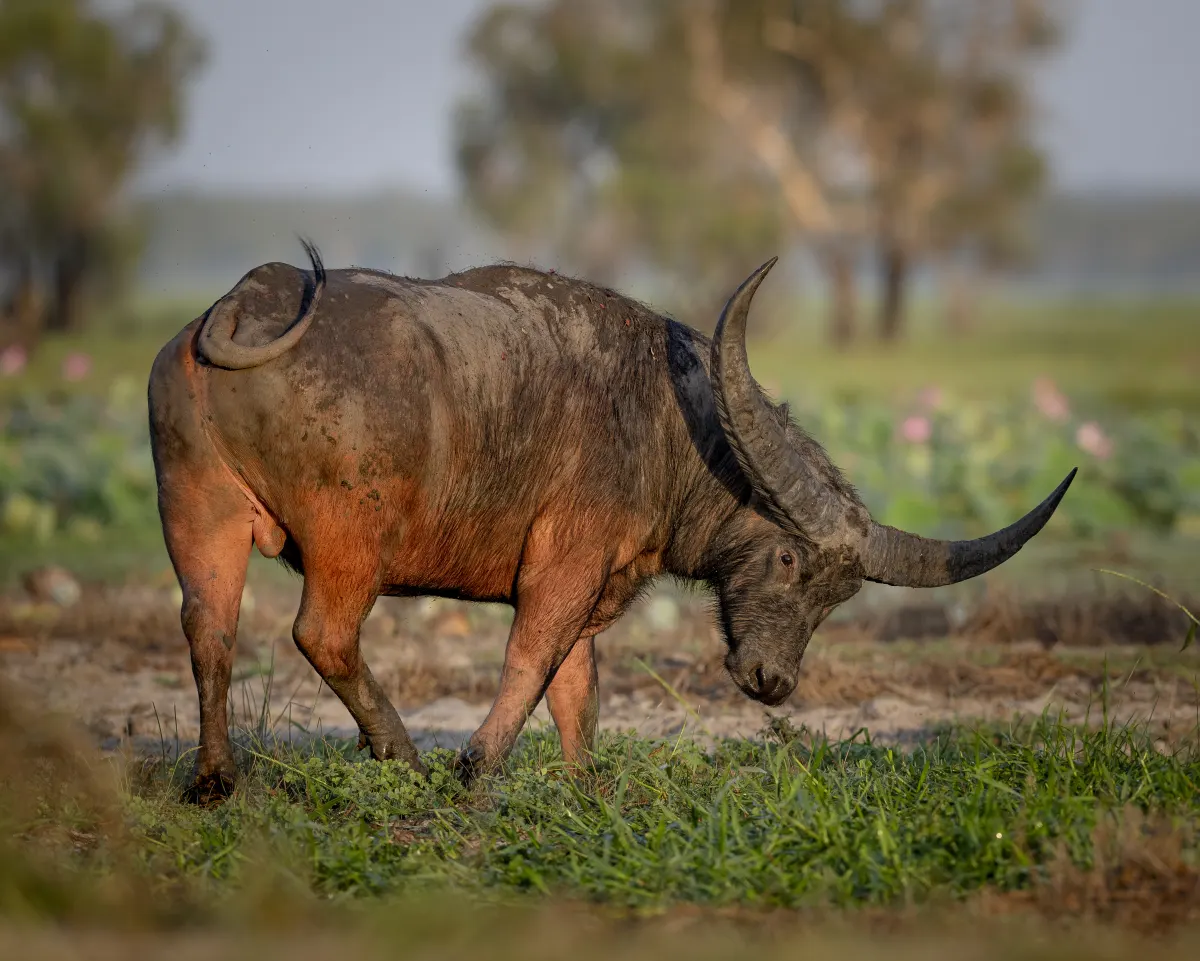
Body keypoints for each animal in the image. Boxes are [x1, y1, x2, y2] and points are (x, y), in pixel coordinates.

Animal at [148, 242, 1074, 800]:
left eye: (840, 595)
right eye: (787, 561)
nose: (772, 681)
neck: (670, 424)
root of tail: (248, 301)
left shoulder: (594, 584)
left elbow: (577, 688)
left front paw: (584, 783)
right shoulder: (567, 562)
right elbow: (532, 658)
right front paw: (475, 765)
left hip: (200, 518)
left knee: (209, 630)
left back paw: (214, 779)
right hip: (350, 544)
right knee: (322, 634)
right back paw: (403, 755)